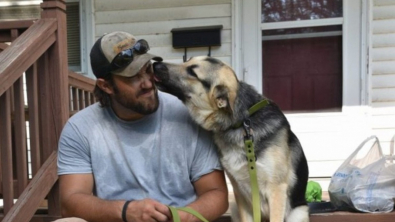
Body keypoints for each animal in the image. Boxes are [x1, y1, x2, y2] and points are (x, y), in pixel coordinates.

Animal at [153, 56, 310, 222]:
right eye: (187, 60)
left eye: (193, 73)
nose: (155, 64)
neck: (242, 124)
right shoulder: (240, 193)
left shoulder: (276, 190)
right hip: (234, 207)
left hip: (297, 213)